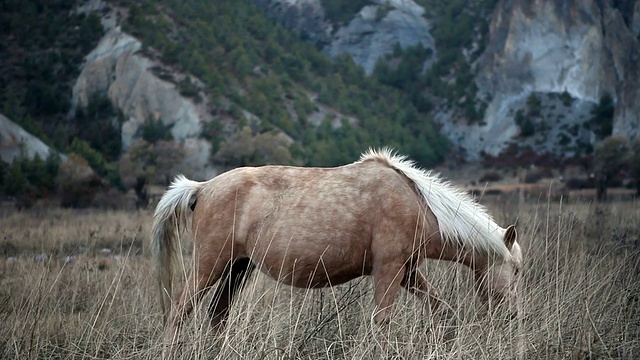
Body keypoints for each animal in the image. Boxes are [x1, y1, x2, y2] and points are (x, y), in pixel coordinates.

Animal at [152, 148, 524, 336]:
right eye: (517, 270)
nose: (512, 315)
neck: (416, 204)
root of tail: (202, 188)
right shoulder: (388, 271)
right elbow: (381, 323)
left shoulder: (408, 272)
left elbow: (441, 308)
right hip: (209, 265)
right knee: (178, 312)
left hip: (237, 268)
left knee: (217, 316)